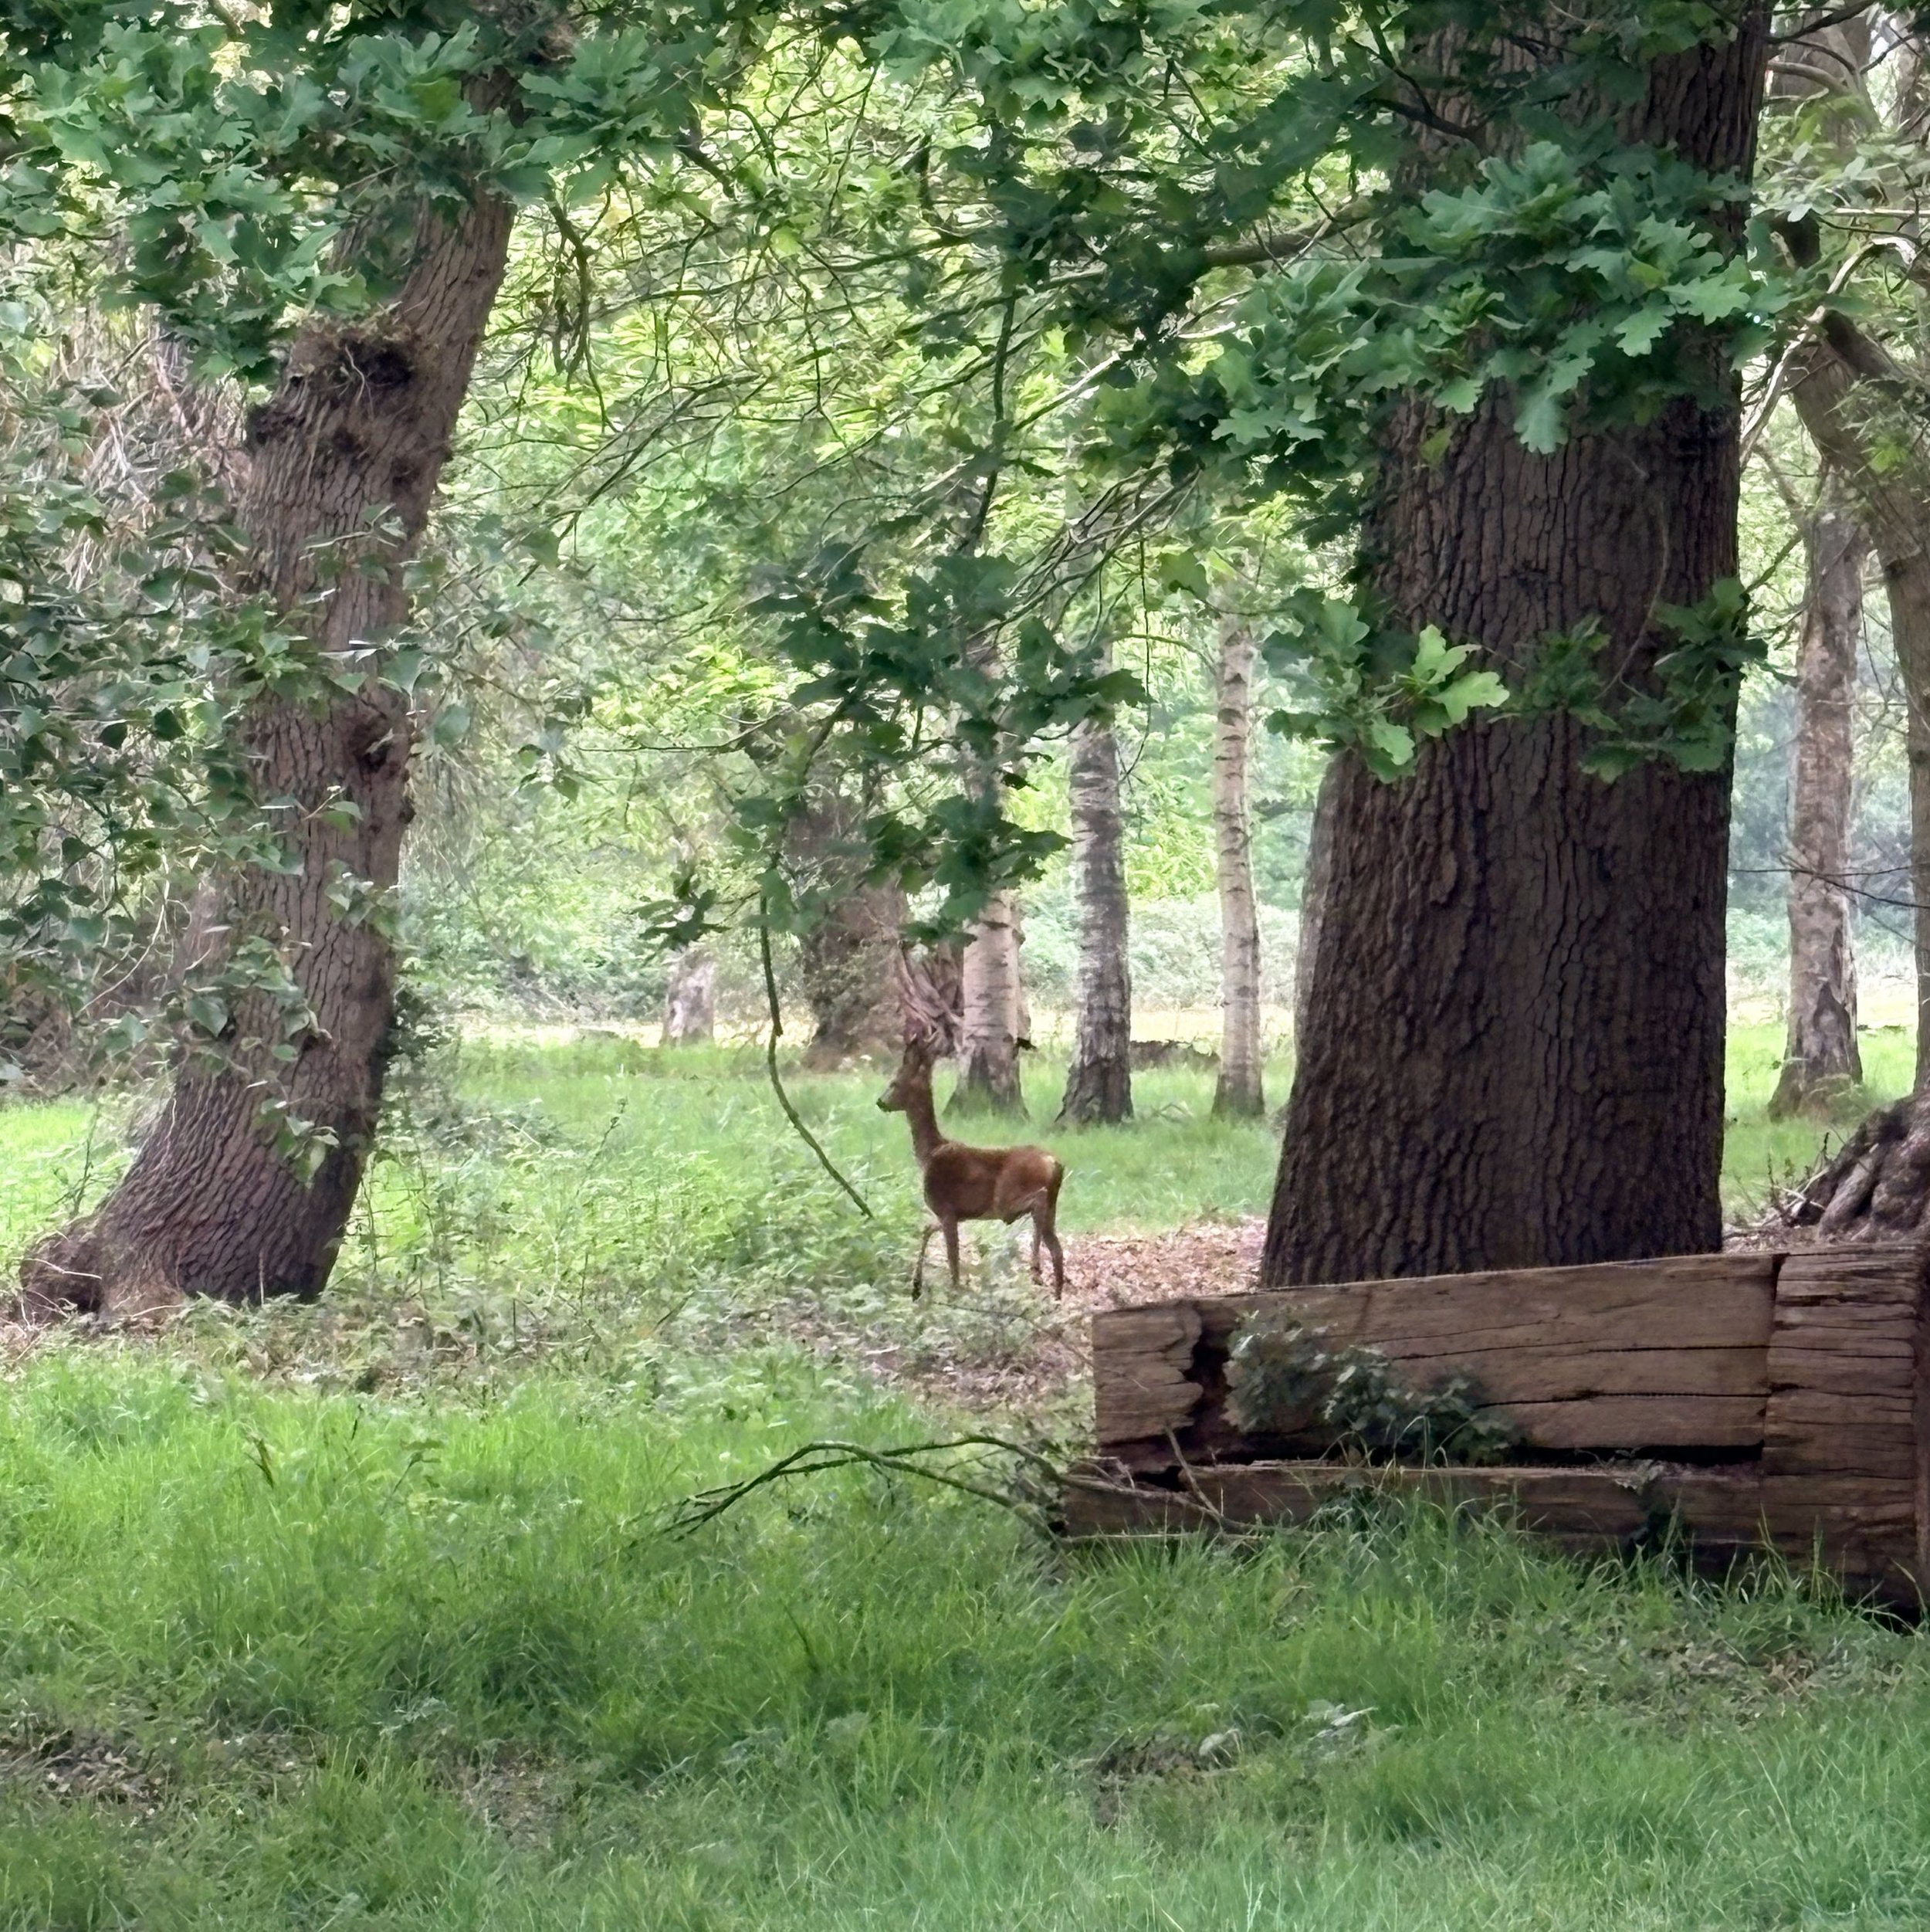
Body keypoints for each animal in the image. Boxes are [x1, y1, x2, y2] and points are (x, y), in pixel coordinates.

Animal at [877, 1035, 1066, 1298]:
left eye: (893, 1083)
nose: (880, 1102)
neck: (929, 1154)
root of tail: (1055, 1163)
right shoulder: (953, 1214)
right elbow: (927, 1230)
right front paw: (916, 1285)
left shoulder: (946, 1209)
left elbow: (953, 1263)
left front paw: (953, 1292)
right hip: (1051, 1208)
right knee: (1057, 1249)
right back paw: (1056, 1297)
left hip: (1006, 1197)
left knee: (1037, 1205)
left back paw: (1036, 1268)